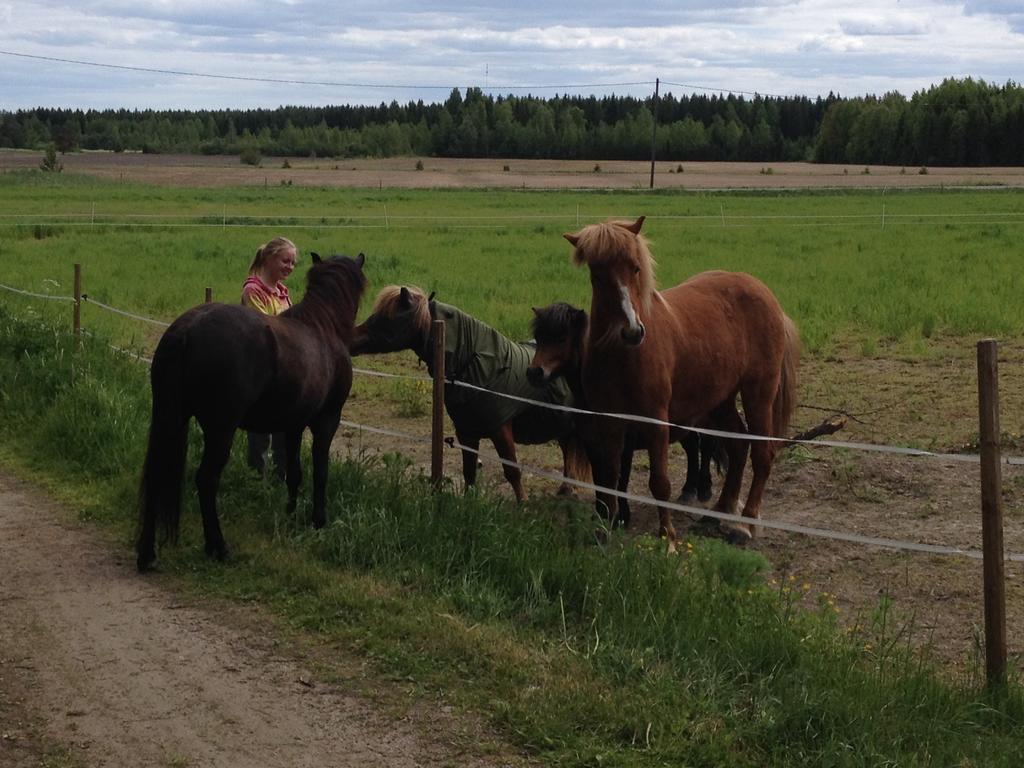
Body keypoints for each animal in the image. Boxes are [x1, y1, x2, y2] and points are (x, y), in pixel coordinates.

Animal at [136, 252, 368, 573]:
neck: (323, 329)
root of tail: (188, 328)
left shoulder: (293, 425)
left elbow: (294, 472)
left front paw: (290, 513)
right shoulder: (326, 421)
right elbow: (320, 472)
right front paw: (318, 521)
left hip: (170, 418)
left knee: (157, 475)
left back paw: (147, 554)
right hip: (220, 430)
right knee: (206, 480)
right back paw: (218, 547)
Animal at [352, 286, 589, 501]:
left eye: (387, 317)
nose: (353, 338)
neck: (473, 361)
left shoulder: (501, 429)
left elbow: (512, 472)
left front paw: (523, 505)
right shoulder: (466, 432)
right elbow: (469, 472)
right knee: (568, 451)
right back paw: (565, 489)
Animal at [528, 301, 720, 528]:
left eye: (561, 338)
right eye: (539, 337)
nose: (534, 373)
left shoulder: (625, 444)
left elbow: (621, 480)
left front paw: (622, 517)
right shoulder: (593, 444)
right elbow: (601, 479)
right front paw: (601, 514)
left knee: (706, 446)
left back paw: (704, 489)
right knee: (692, 447)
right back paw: (688, 491)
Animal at [565, 218, 794, 548]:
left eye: (636, 268)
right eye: (597, 275)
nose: (632, 331)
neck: (623, 357)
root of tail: (762, 291)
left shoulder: (656, 421)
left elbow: (659, 482)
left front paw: (668, 539)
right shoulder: (609, 422)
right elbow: (609, 477)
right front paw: (603, 532)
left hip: (759, 393)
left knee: (763, 454)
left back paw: (746, 524)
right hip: (720, 399)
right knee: (738, 446)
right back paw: (719, 511)